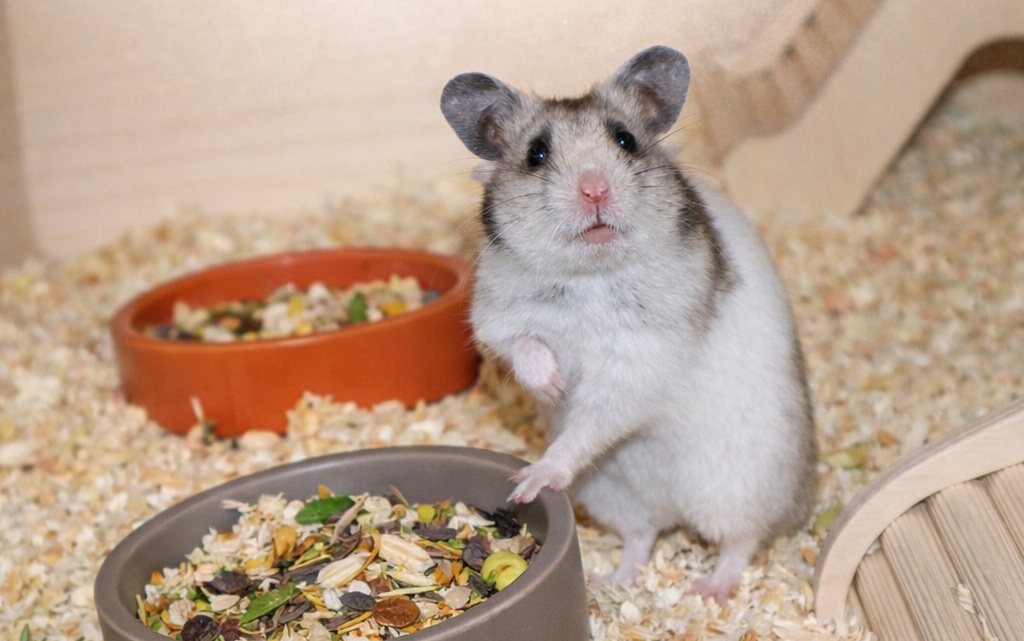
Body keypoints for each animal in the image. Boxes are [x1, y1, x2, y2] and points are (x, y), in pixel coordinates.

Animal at [440, 46, 817, 604]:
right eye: (536, 154)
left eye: (625, 140)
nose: (595, 190)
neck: (590, 277)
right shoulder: (496, 317)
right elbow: (524, 345)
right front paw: (552, 385)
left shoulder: (639, 362)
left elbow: (592, 420)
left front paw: (531, 480)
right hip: (612, 493)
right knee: (641, 537)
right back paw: (611, 581)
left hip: (738, 487)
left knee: (740, 541)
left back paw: (711, 590)